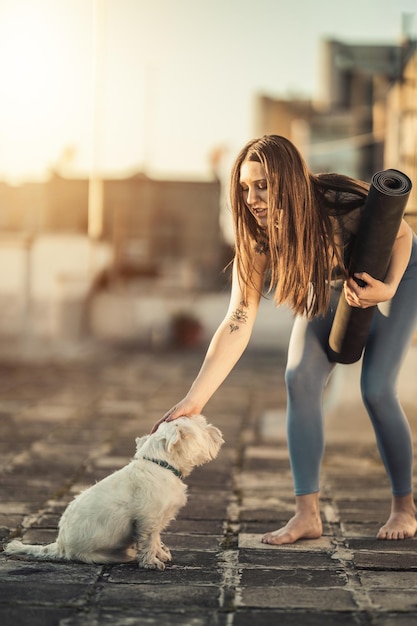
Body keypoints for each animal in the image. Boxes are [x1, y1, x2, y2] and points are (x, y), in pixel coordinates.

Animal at [4, 412, 223, 568]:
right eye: (202, 428)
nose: (218, 433)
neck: (162, 465)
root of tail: (60, 546)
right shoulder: (148, 519)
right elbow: (148, 540)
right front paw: (151, 562)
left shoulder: (158, 519)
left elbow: (156, 538)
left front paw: (160, 554)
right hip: (101, 555)